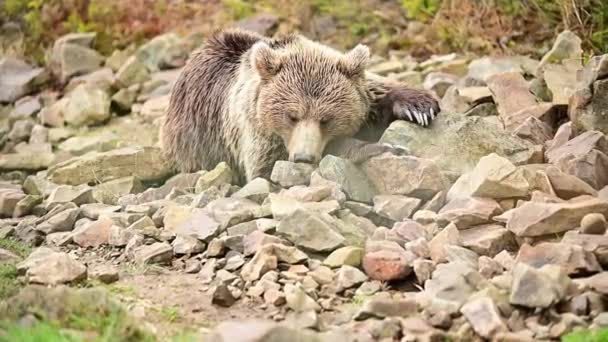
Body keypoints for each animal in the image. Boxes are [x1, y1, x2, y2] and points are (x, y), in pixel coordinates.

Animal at [159, 28, 440, 186]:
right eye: (291, 116)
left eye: (326, 119)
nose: (304, 157)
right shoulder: (251, 130)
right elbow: (267, 169)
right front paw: (379, 147)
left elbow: (377, 90)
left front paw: (419, 107)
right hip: (195, 140)